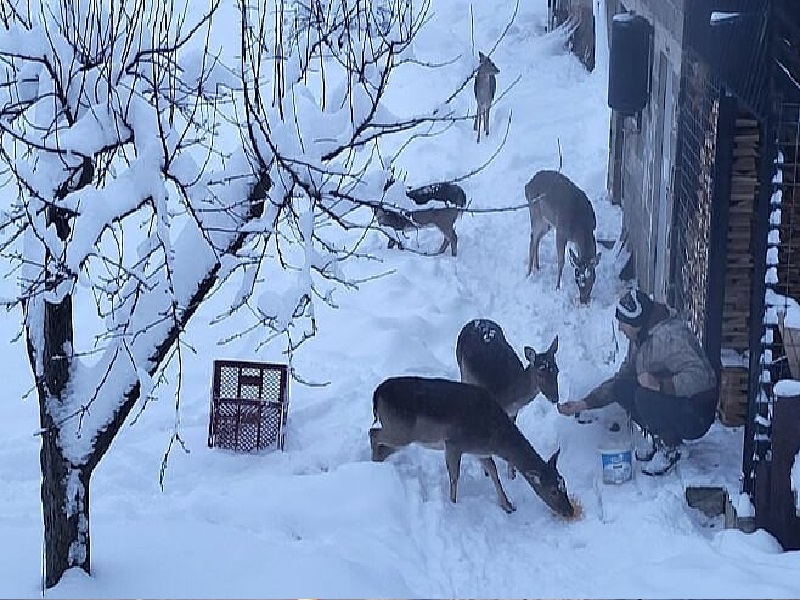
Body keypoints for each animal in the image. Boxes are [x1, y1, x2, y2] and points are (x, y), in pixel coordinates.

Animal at [370, 376, 576, 516]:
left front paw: (508, 505)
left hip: (403, 435)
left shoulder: (479, 451)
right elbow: (455, 476)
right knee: (373, 434)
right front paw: (453, 505)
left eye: (564, 483)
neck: (495, 436)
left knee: (381, 445)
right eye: (553, 491)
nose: (570, 511)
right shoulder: (454, 443)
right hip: (401, 431)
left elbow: (493, 472)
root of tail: (377, 393)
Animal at [524, 171, 600, 308]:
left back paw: (537, 266)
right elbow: (561, 261)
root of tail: (527, 185)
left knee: (537, 238)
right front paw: (557, 287)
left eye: (592, 278)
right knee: (533, 238)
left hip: (547, 222)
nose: (584, 300)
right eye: (577, 279)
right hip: (535, 212)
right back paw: (529, 273)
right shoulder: (561, 232)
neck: (581, 227)